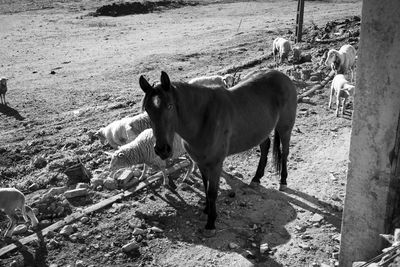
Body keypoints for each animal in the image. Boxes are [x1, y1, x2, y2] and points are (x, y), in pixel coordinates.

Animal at [139, 70, 296, 237]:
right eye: (147, 109)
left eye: (169, 106)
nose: (162, 149)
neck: (203, 120)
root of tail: (282, 76)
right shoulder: (201, 162)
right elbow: (206, 187)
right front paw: (206, 210)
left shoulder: (215, 164)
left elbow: (212, 192)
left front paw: (211, 223)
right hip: (261, 130)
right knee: (265, 146)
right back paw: (256, 178)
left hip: (285, 128)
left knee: (285, 152)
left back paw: (283, 181)